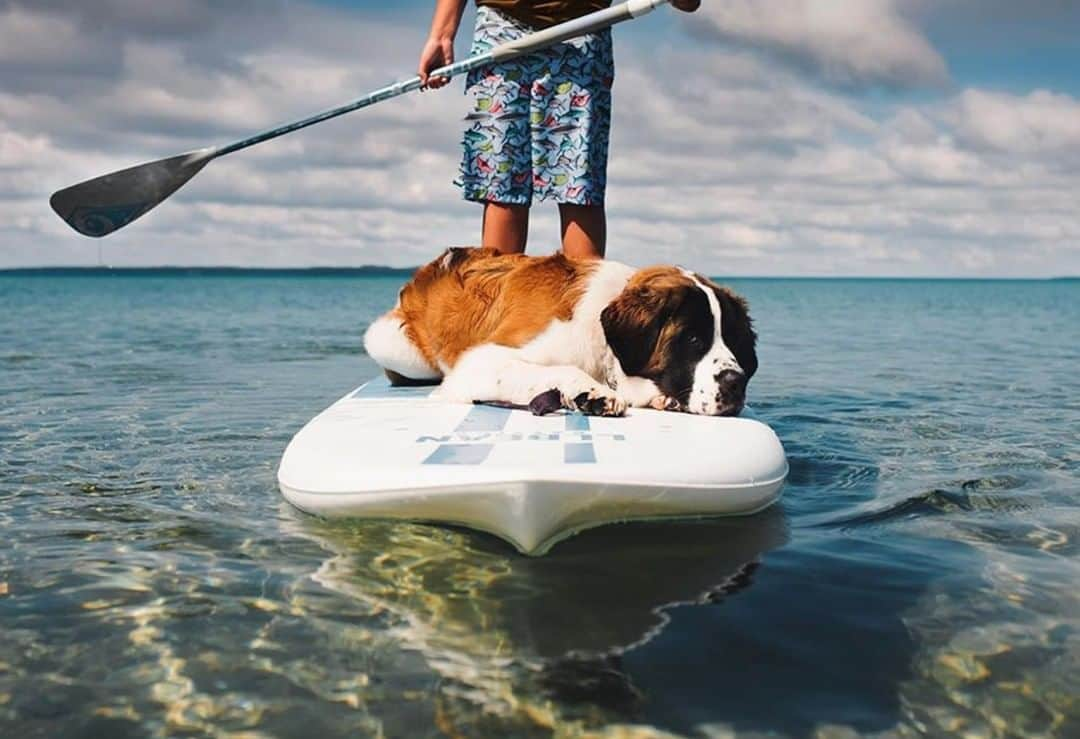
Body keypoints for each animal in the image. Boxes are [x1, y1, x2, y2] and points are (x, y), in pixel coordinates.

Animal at [360, 245, 751, 412]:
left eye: (733, 341)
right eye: (693, 339)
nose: (736, 382)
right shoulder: (479, 362)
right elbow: (561, 369)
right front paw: (594, 393)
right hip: (393, 345)